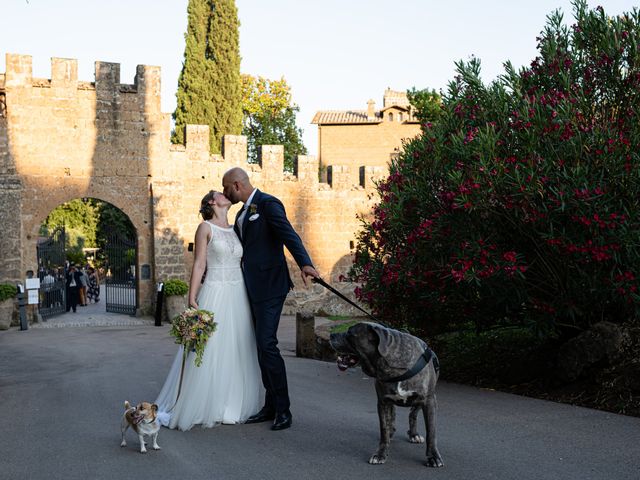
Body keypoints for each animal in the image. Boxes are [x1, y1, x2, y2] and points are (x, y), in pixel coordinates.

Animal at [330, 320, 444, 466]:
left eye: (350, 333)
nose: (331, 335)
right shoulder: (383, 402)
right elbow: (384, 429)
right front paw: (380, 454)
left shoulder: (429, 401)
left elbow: (431, 432)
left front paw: (433, 456)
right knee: (393, 417)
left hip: (421, 400)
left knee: (413, 414)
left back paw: (414, 434)